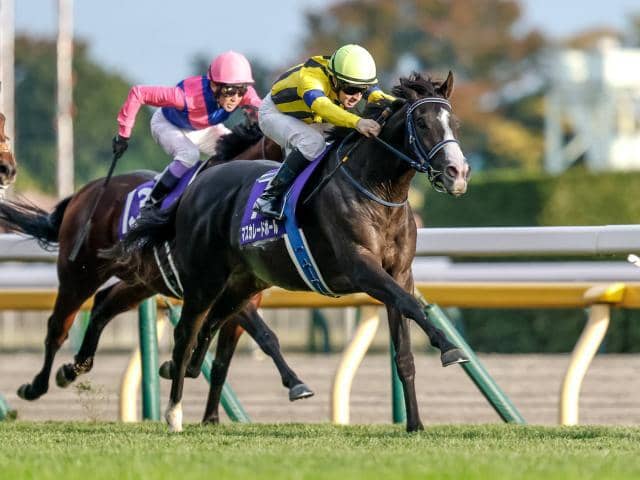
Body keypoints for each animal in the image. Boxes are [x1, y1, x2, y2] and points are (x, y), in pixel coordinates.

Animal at [0, 122, 313, 424]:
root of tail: (83, 192)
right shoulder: (222, 291)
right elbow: (265, 335)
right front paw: (295, 383)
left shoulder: (243, 296)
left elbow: (225, 361)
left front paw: (210, 418)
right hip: (78, 273)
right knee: (58, 326)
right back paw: (36, 386)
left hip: (140, 281)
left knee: (103, 305)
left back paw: (75, 366)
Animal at [114, 72, 471, 432]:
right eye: (422, 123)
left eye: (453, 122)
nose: (457, 173)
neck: (378, 190)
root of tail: (194, 186)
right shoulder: (361, 267)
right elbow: (411, 304)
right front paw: (450, 348)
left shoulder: (399, 273)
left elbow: (405, 347)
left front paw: (415, 423)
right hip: (204, 279)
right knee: (185, 332)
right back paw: (174, 412)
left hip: (244, 283)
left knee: (213, 322)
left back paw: (181, 369)